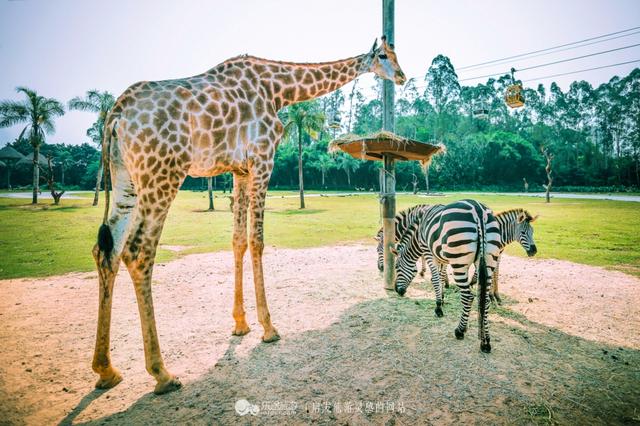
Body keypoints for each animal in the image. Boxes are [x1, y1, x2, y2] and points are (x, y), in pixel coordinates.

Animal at [92, 35, 408, 394]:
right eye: (383, 56)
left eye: (396, 54)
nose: (401, 76)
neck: (278, 89)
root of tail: (115, 115)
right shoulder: (262, 159)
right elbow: (257, 240)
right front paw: (269, 327)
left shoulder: (239, 170)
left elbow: (237, 240)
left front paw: (240, 324)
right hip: (163, 172)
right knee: (138, 251)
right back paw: (162, 373)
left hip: (124, 178)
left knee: (107, 251)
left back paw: (106, 370)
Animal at [392, 200, 502, 352]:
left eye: (396, 267)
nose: (397, 291)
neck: (418, 235)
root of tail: (478, 210)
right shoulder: (442, 257)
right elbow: (441, 276)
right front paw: (442, 299)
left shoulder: (428, 252)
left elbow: (435, 279)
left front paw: (438, 307)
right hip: (488, 261)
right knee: (484, 300)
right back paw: (485, 342)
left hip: (459, 262)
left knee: (468, 297)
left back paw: (460, 331)